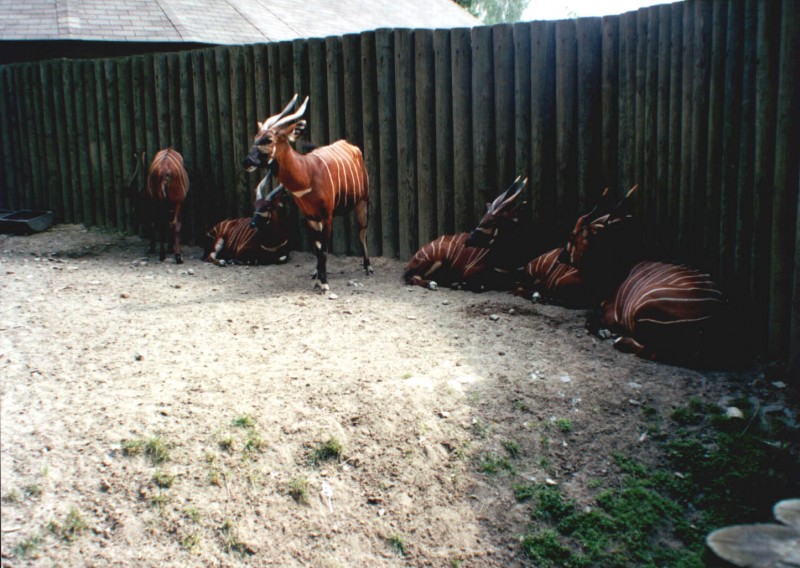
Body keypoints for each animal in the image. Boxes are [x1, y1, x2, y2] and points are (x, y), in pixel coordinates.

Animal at [243, 94, 370, 291]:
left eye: (268, 140)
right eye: (255, 137)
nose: (247, 161)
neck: (307, 174)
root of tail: (351, 146)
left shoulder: (326, 216)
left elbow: (324, 250)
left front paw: (324, 284)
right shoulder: (310, 217)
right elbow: (317, 250)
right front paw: (318, 278)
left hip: (362, 200)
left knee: (362, 232)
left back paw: (368, 267)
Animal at [404, 177, 533, 291]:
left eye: (490, 222)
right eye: (482, 219)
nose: (468, 240)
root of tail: (411, 261)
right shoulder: (468, 271)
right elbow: (480, 286)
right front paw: (458, 284)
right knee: (412, 278)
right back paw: (432, 284)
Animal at [560, 186, 730, 365]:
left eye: (572, 236)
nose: (561, 256)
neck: (616, 271)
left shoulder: (611, 315)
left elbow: (590, 321)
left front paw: (606, 332)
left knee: (650, 351)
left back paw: (620, 339)